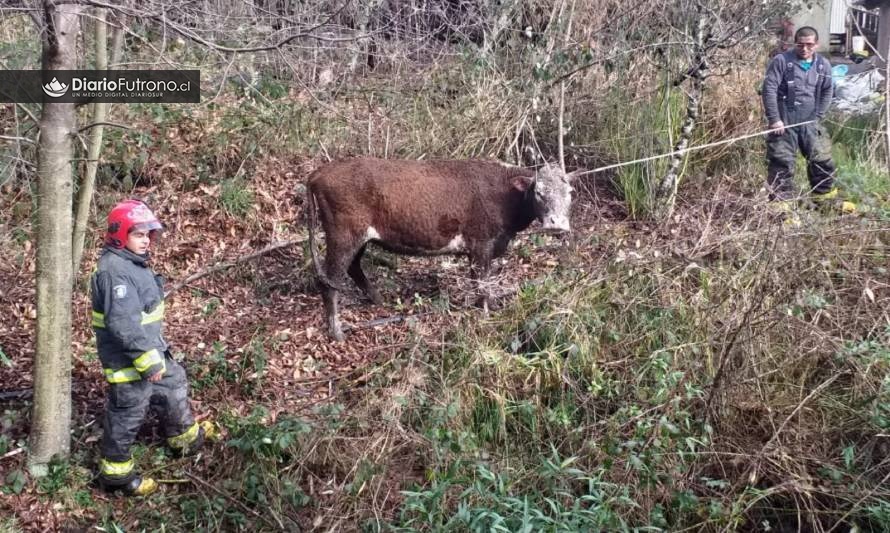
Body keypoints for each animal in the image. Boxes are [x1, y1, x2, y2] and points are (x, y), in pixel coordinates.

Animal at [306, 158, 584, 340]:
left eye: (570, 191)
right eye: (539, 192)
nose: (556, 224)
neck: (505, 196)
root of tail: (320, 172)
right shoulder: (481, 244)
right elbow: (482, 282)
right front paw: (487, 310)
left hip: (359, 238)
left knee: (352, 268)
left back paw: (377, 299)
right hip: (343, 235)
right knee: (330, 281)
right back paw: (336, 332)